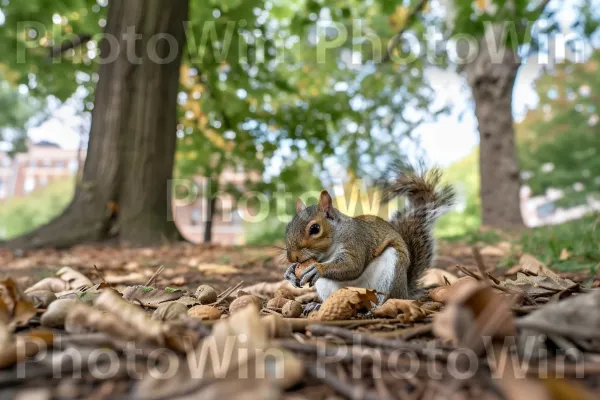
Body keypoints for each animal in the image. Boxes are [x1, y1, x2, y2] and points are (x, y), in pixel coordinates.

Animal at [284, 162, 452, 304]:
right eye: (288, 227)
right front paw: (290, 271)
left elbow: (353, 266)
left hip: (390, 271)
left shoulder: (356, 240)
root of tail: (405, 292)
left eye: (315, 229)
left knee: (386, 297)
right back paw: (317, 306)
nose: (292, 257)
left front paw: (317, 269)